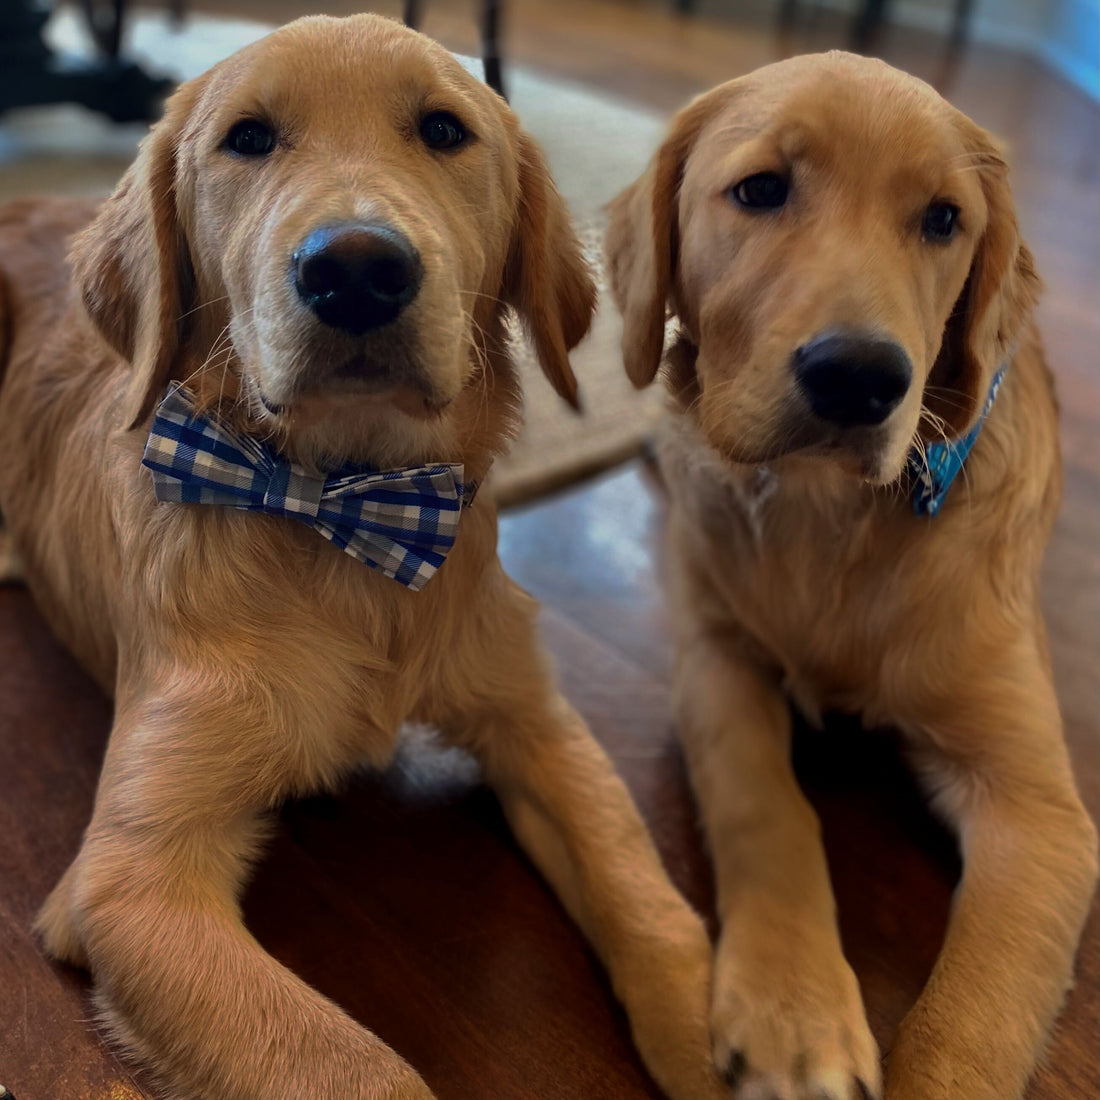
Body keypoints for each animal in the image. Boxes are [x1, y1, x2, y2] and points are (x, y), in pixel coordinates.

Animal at [0, 15, 730, 1100]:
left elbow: (652, 904)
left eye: (444, 130)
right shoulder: (129, 881)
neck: (345, 517)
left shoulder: (537, 721)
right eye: (248, 138)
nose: (354, 270)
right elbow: (360, 1069)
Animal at [607, 49, 1095, 1100]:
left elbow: (974, 1018)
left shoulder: (1041, 811)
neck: (823, 518)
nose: (861, 378)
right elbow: (767, 807)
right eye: (760, 190)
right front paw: (792, 1013)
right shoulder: (717, 664)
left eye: (944, 220)